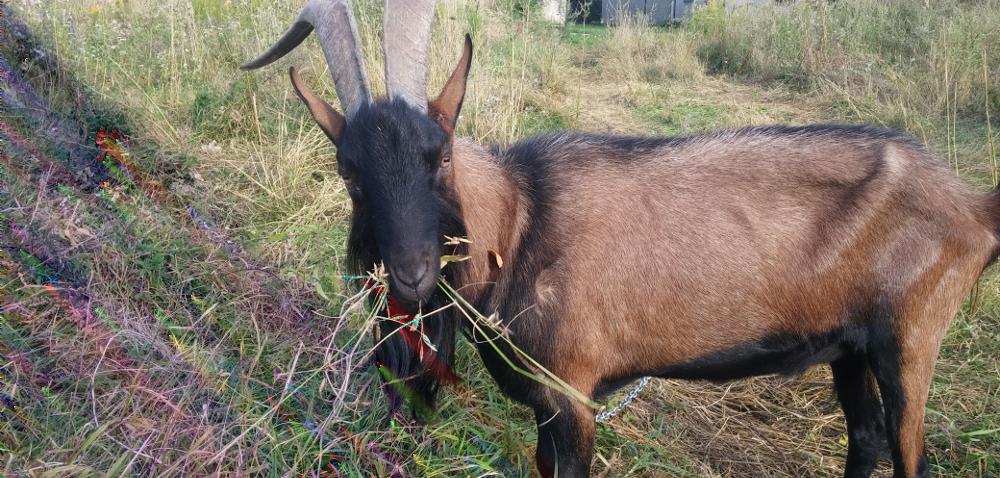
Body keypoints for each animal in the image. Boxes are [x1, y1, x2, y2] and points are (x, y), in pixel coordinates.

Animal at [244, 1, 1000, 476]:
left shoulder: (574, 395)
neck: (521, 222)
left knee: (909, 455)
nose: (409, 273)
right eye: (350, 171)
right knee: (865, 439)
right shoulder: (545, 406)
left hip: (908, 341)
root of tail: (973, 205)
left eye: (441, 152)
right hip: (848, 346)